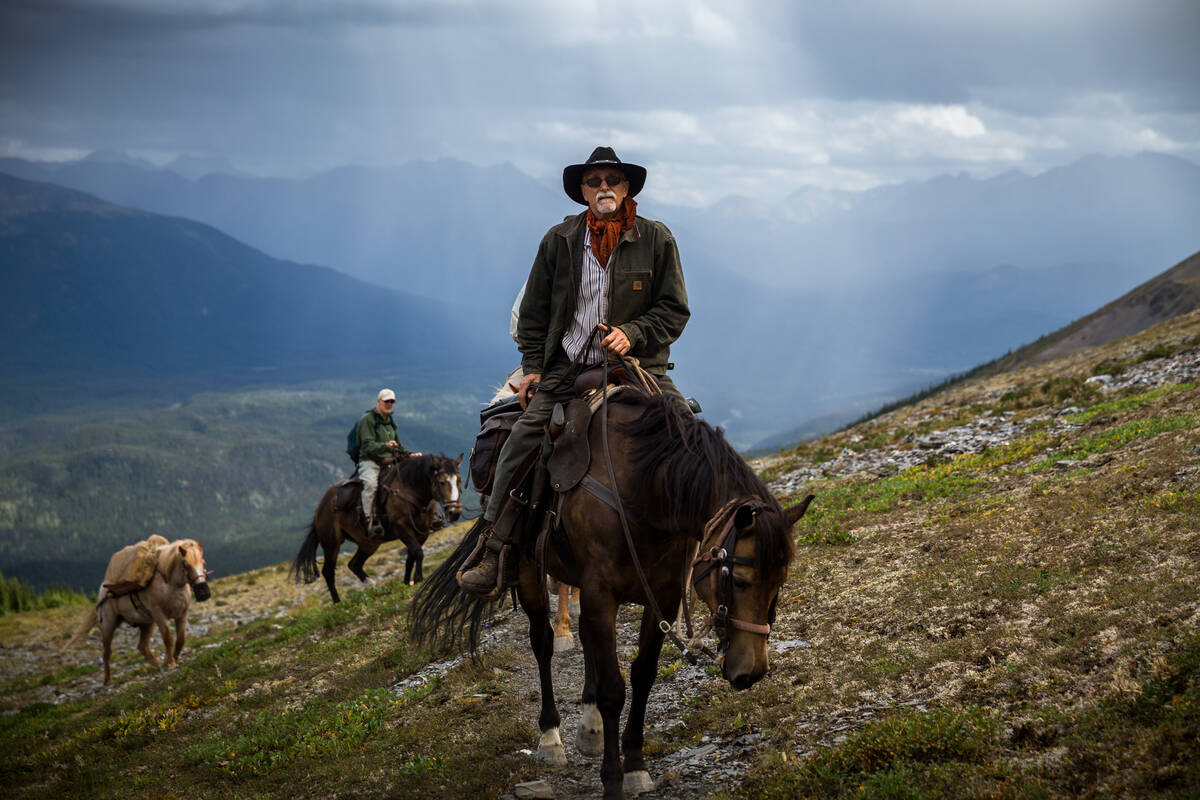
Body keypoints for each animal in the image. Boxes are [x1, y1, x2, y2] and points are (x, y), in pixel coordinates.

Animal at [68, 537, 210, 681]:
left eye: (203, 562)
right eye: (186, 564)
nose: (203, 592)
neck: (170, 584)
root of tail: (103, 592)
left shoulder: (182, 615)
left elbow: (181, 640)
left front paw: (172, 659)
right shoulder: (159, 615)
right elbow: (168, 638)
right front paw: (170, 662)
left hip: (146, 624)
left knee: (142, 646)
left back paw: (156, 663)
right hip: (108, 626)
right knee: (106, 653)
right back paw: (108, 680)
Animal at [294, 453, 463, 604]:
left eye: (459, 481)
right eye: (441, 482)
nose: (454, 513)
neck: (410, 489)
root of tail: (321, 507)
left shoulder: (422, 532)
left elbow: (411, 556)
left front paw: (407, 582)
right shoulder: (402, 528)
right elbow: (418, 553)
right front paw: (418, 579)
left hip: (369, 543)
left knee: (354, 564)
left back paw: (371, 586)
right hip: (332, 544)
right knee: (328, 572)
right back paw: (338, 603)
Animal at [412, 393, 816, 800]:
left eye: (779, 582)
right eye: (741, 580)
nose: (752, 671)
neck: (645, 490)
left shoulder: (661, 596)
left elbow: (643, 674)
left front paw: (635, 765)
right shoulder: (599, 593)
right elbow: (612, 690)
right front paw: (612, 780)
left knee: (587, 639)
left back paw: (589, 726)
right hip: (528, 572)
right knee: (542, 643)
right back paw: (551, 737)